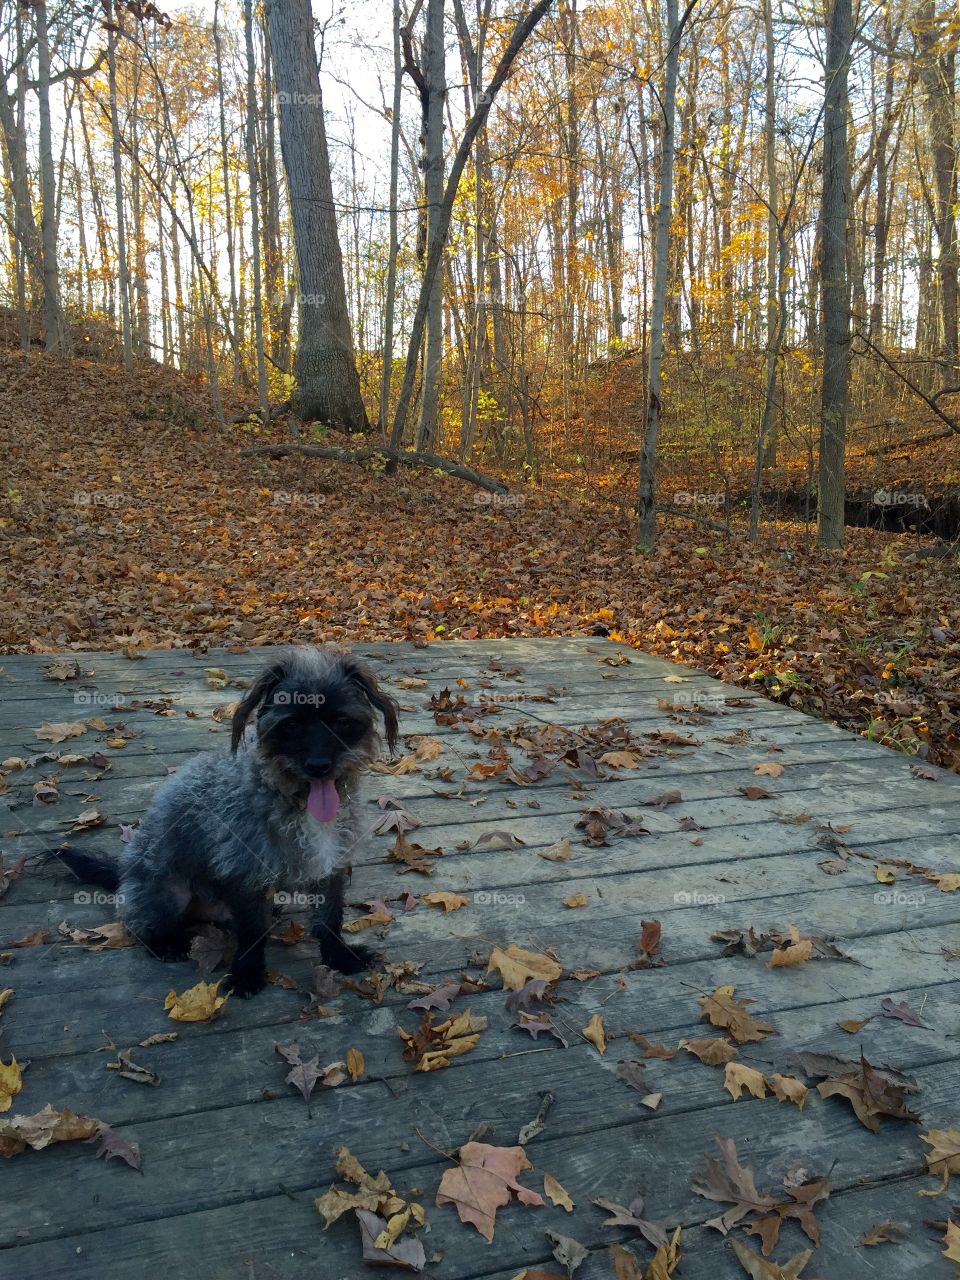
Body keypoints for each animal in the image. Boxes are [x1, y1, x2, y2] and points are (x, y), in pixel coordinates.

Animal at [53, 650, 399, 998]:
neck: (295, 801)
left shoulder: (330, 865)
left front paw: (340, 957)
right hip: (166, 892)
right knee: (138, 924)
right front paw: (247, 973)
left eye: (342, 721)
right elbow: (251, 931)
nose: (318, 766)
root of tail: (122, 873)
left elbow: (329, 917)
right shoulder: (244, 873)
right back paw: (166, 943)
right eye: (290, 725)